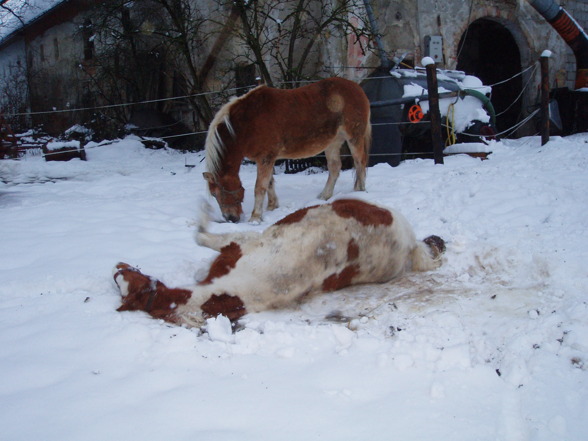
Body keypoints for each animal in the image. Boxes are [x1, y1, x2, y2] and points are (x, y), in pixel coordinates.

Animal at [113, 199, 446, 326]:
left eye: (129, 277)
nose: (116, 267)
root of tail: (408, 242)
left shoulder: (239, 242)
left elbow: (201, 235)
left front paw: (204, 212)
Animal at [202, 76, 368, 223]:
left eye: (218, 193)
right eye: (214, 195)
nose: (231, 218)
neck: (247, 123)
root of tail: (357, 87)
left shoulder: (265, 158)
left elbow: (259, 187)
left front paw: (255, 218)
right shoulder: (265, 159)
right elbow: (269, 183)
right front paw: (272, 206)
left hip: (354, 138)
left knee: (359, 162)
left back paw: (359, 191)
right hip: (332, 142)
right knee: (335, 167)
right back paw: (324, 196)